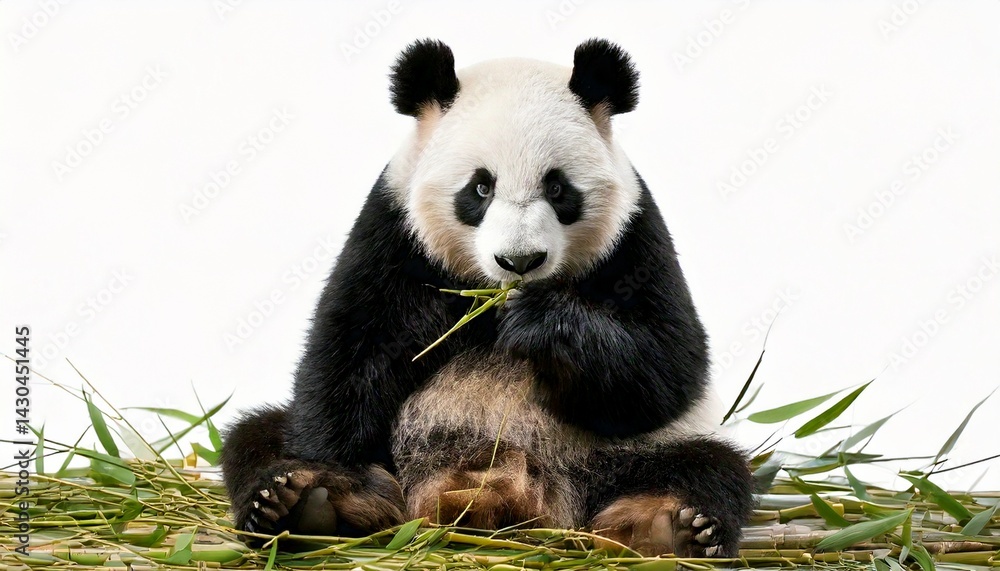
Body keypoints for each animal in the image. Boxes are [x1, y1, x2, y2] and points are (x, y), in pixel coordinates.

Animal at [220, 38, 754, 558]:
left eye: (557, 187)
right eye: (480, 187)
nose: (519, 261)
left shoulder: (633, 235)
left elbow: (668, 363)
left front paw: (541, 321)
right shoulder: (392, 229)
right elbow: (349, 348)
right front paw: (334, 470)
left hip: (628, 453)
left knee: (707, 468)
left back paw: (671, 527)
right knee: (257, 436)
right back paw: (311, 502)